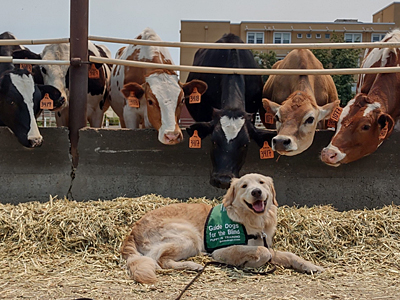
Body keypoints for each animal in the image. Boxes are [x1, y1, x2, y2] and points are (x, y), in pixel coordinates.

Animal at [120, 173, 324, 284]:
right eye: (244, 186)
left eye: (261, 183)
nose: (256, 192)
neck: (251, 219)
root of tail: (133, 230)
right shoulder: (222, 250)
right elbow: (263, 252)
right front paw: (249, 264)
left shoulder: (265, 242)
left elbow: (289, 255)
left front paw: (310, 266)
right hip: (189, 238)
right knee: (159, 261)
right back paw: (192, 265)